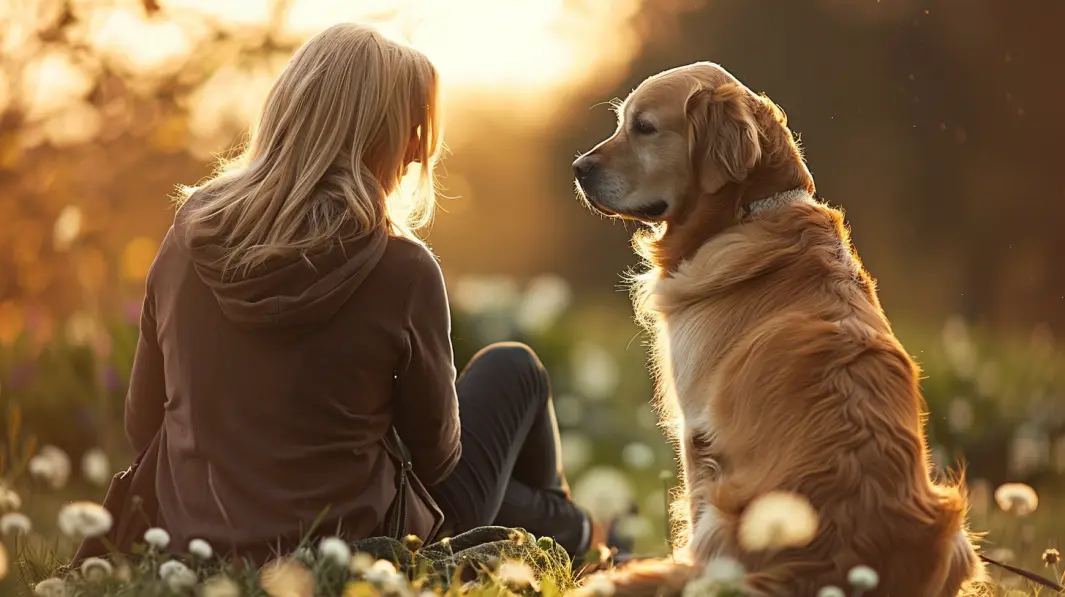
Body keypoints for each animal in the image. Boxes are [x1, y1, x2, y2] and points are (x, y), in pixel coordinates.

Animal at [575, 62, 979, 591]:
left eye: (643, 126)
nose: (577, 168)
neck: (744, 214)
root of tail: (839, 567)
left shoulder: (695, 429)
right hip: (956, 536)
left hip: (725, 506)